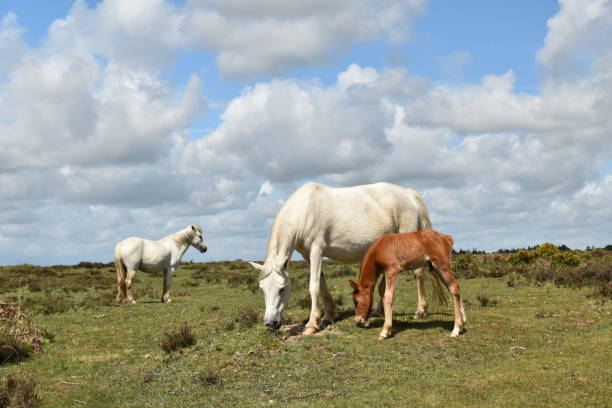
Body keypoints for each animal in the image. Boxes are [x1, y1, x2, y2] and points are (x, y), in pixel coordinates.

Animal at [249, 182, 444, 334]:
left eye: (282, 289)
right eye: (262, 289)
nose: (270, 323)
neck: (305, 209)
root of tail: (408, 194)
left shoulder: (316, 250)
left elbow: (313, 286)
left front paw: (312, 324)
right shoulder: (307, 255)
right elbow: (322, 284)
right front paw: (328, 315)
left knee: (418, 274)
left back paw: (420, 310)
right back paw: (377, 311)